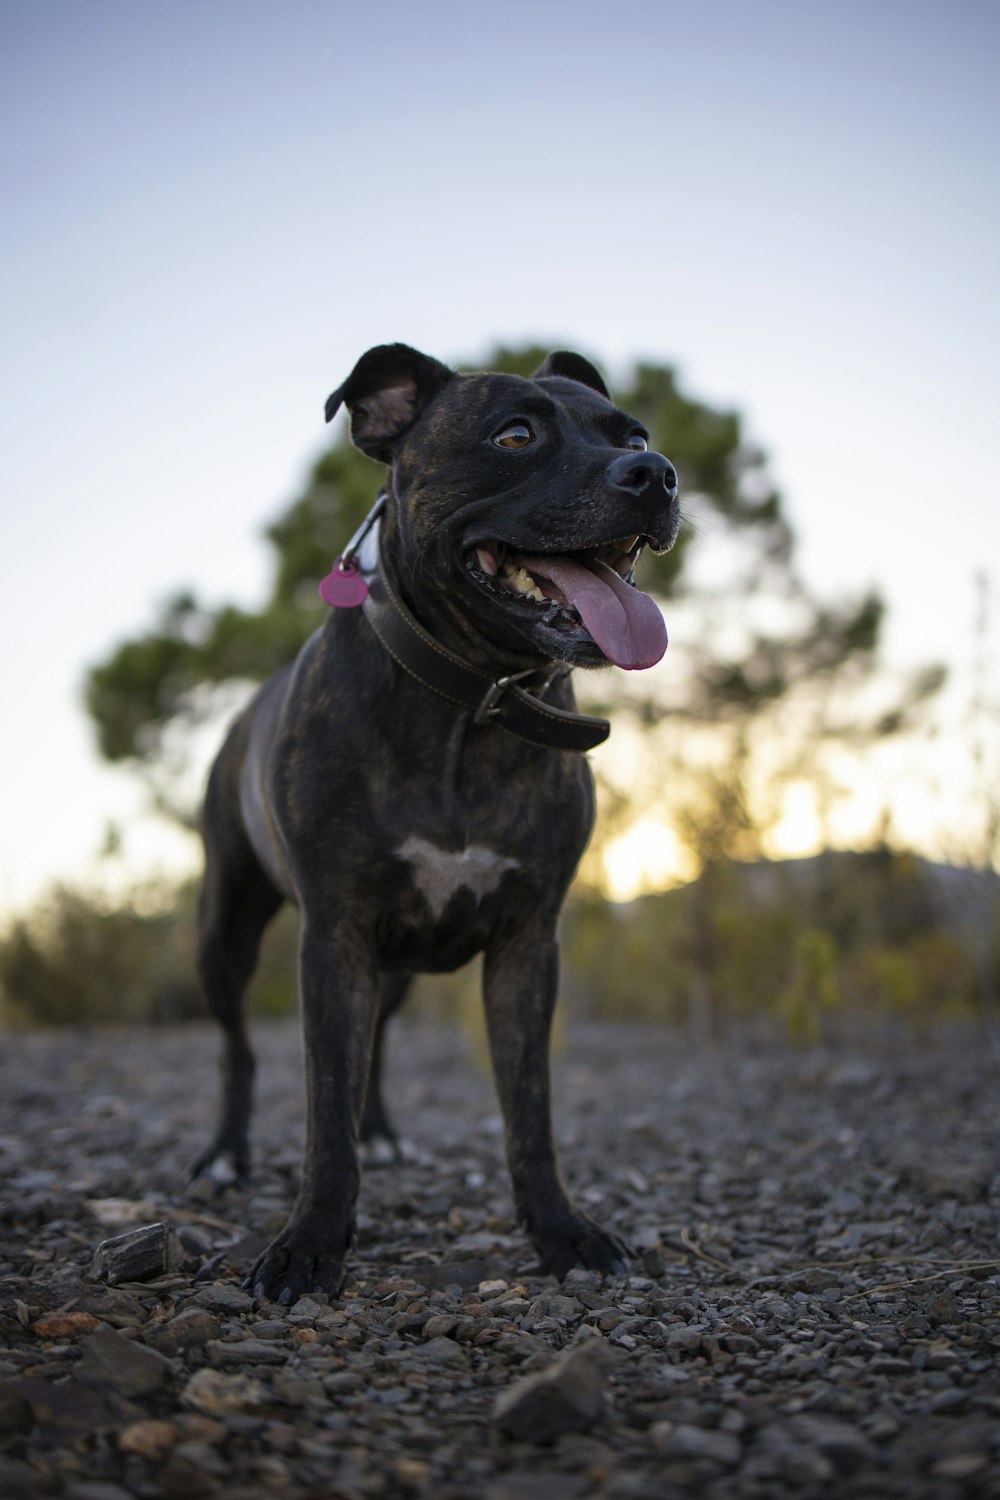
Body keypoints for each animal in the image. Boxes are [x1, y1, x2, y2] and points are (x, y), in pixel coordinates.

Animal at [193, 345, 680, 1308]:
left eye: (635, 435)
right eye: (515, 435)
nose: (655, 475)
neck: (471, 701)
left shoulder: (528, 943)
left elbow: (529, 1110)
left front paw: (563, 1232)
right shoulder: (333, 934)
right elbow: (323, 1109)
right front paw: (310, 1244)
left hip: (397, 964)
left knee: (375, 1043)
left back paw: (380, 1132)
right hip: (225, 929)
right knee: (237, 1052)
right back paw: (226, 1154)